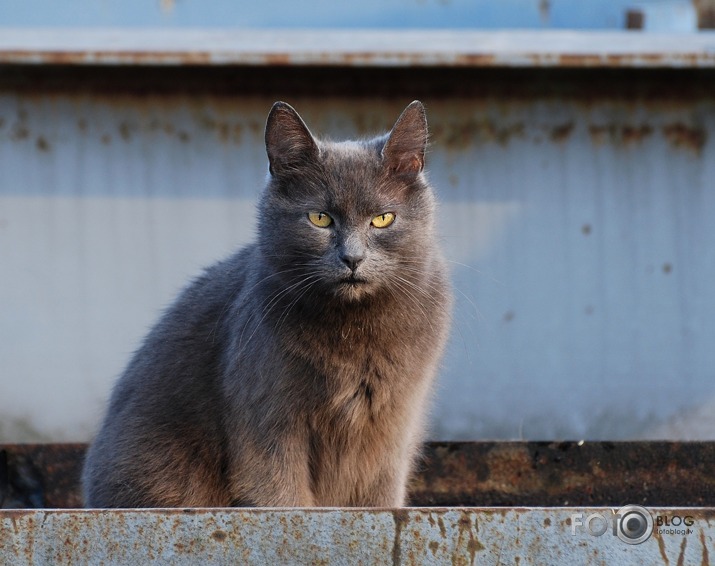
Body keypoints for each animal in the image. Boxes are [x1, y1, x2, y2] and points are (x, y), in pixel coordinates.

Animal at [82, 100, 454, 508]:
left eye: (383, 219)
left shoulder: (393, 425)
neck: (353, 330)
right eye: (320, 218)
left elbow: (380, 495)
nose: (353, 258)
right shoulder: (265, 419)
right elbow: (278, 494)